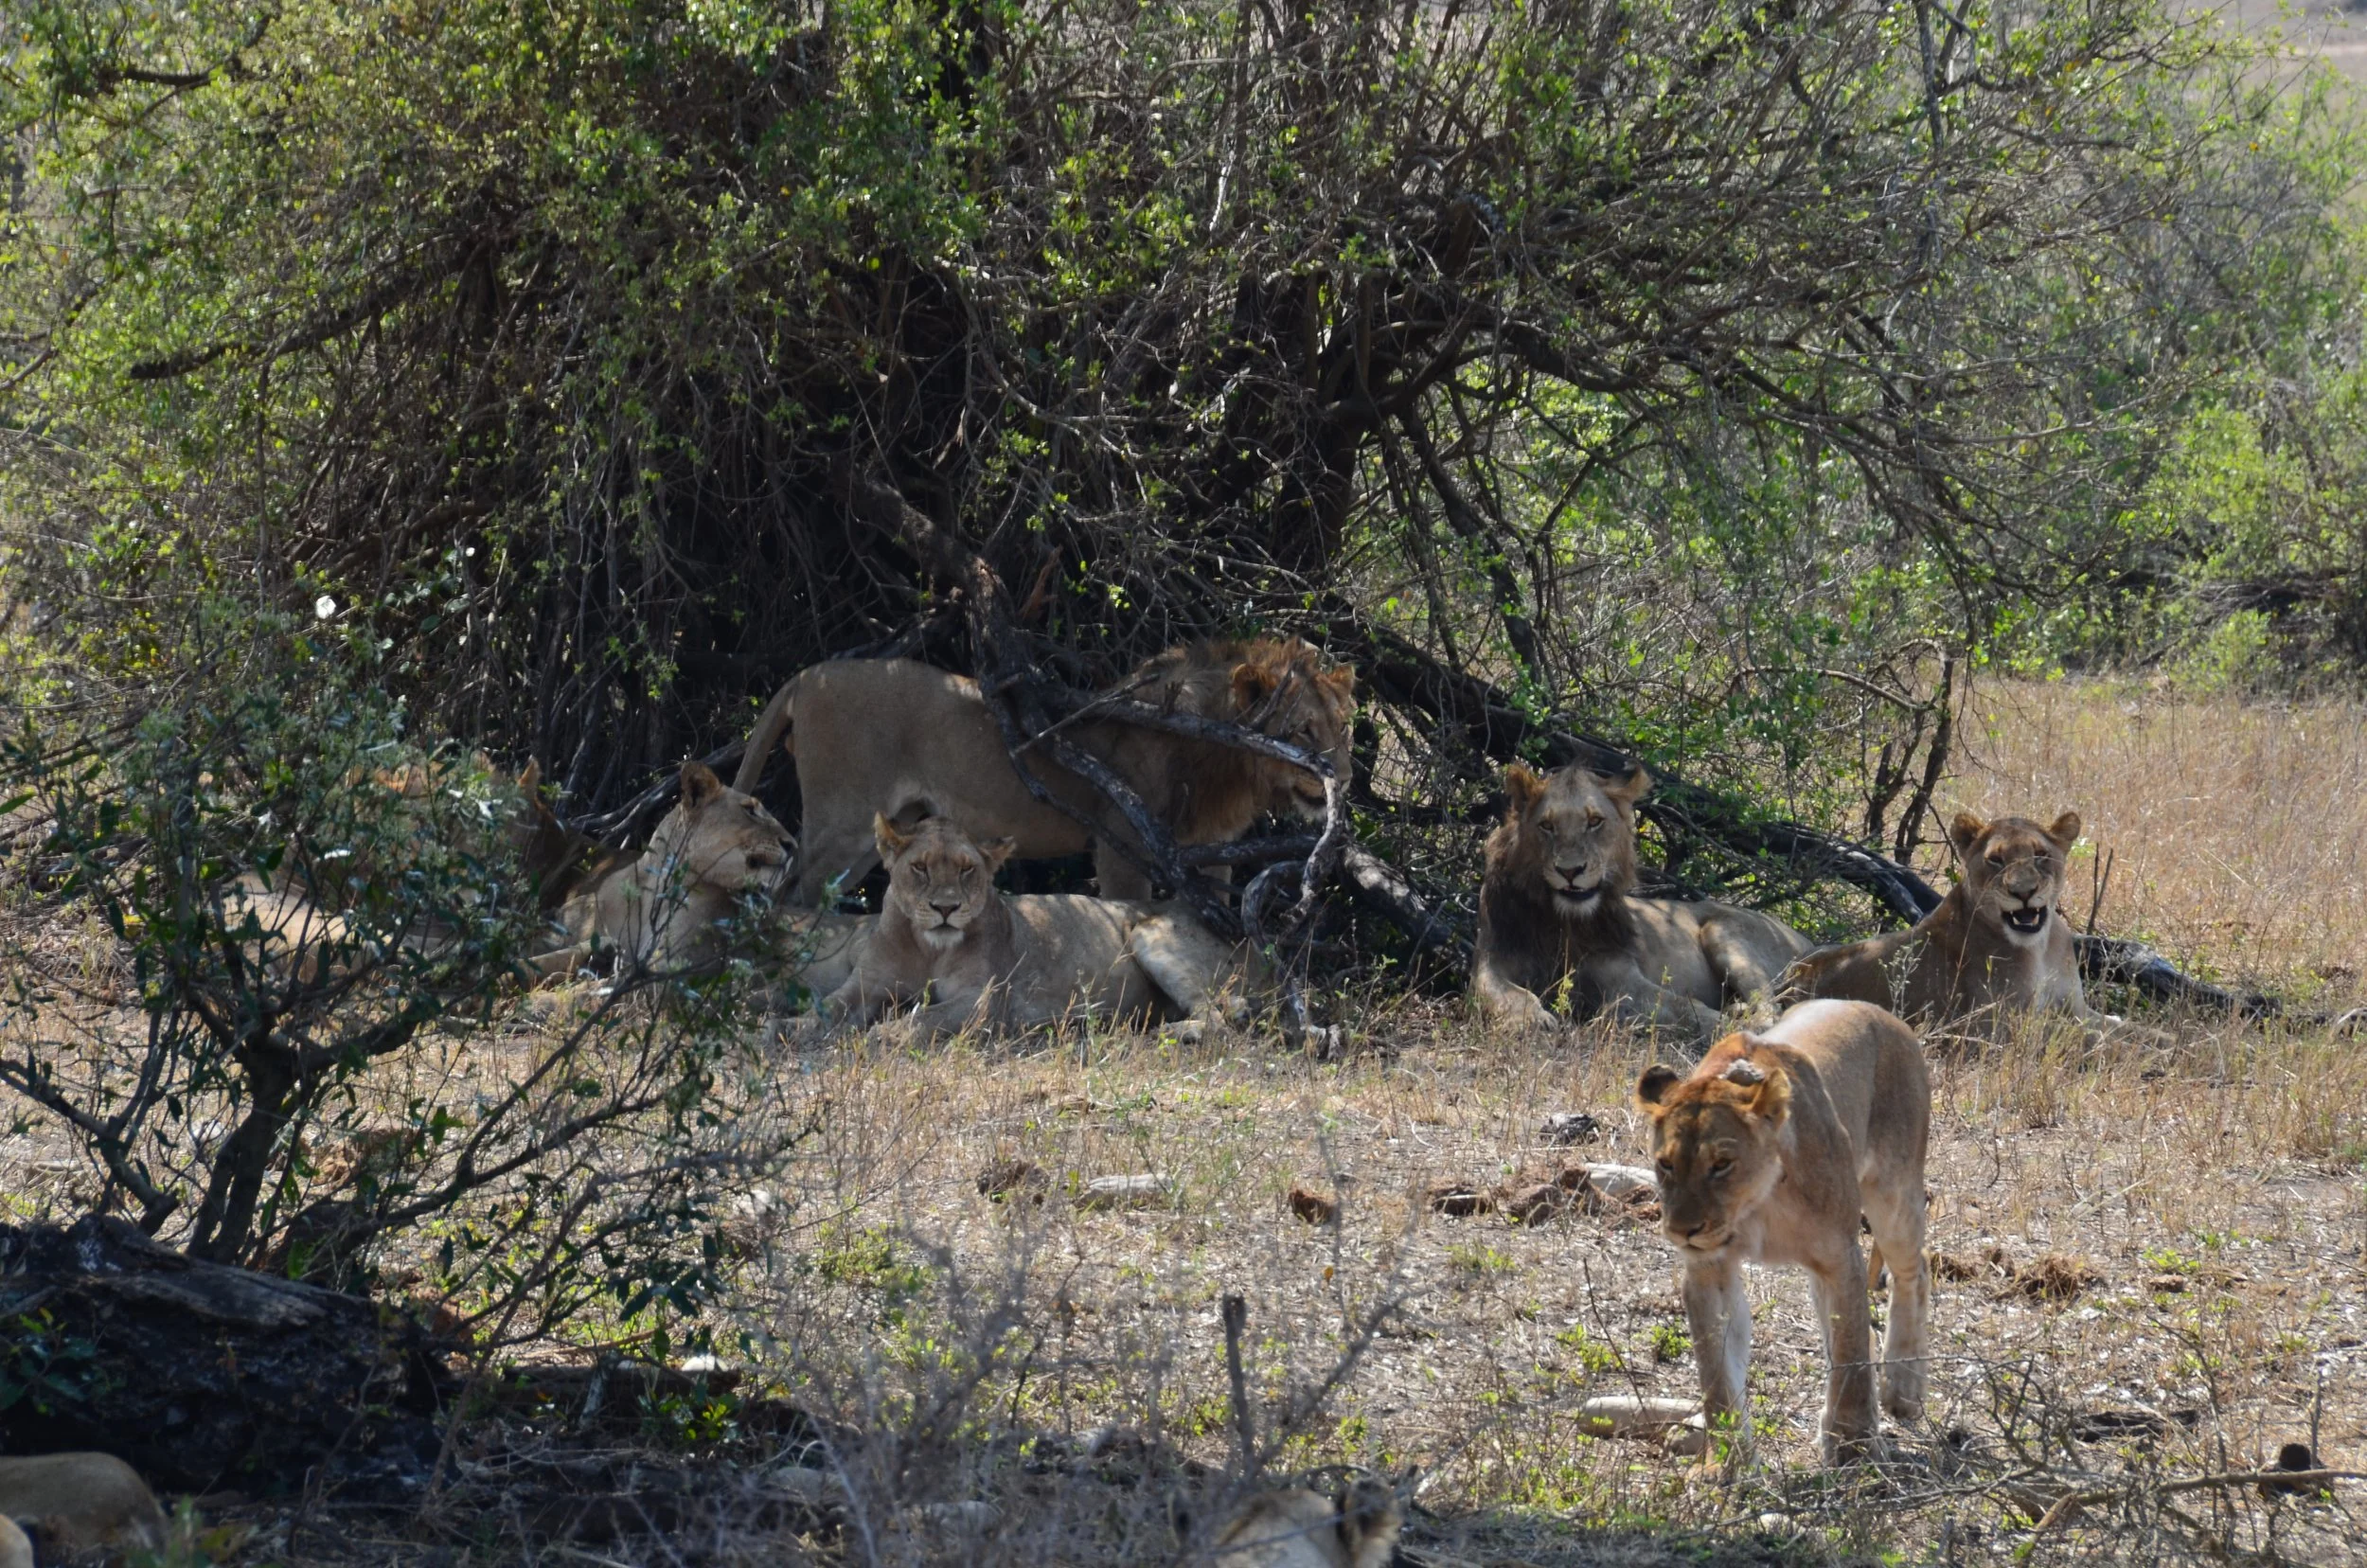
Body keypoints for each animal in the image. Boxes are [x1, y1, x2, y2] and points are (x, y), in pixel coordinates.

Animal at [732, 638, 1356, 906]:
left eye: (1344, 726)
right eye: (1302, 731)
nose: (1344, 777)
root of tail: (806, 677)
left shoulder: (1213, 852)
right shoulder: (1122, 845)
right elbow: (1130, 914)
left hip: (874, 833)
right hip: (841, 820)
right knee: (790, 895)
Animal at [804, 815, 1258, 1038]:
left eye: (967, 869)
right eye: (919, 867)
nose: (946, 908)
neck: (926, 947)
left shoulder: (984, 1001)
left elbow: (924, 1018)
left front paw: (881, 1035)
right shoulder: (865, 986)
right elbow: (825, 1008)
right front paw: (790, 1028)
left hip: (1152, 935)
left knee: (1216, 1017)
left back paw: (1177, 1032)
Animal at [1472, 763, 1812, 1045]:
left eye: (1594, 821)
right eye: (1546, 825)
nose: (1570, 871)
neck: (1562, 920)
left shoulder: (1618, 972)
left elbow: (1679, 1005)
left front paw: (1725, 1027)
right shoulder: (1492, 961)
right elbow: (1507, 993)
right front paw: (1534, 1020)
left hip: (1723, 930)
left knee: (1771, 1007)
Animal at [1635, 999, 1931, 1466]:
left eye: (1721, 1164)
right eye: (1665, 1164)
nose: (1683, 1230)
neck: (1758, 1203)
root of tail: (1883, 1013)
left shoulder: (1840, 1254)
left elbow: (1849, 1351)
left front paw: (1853, 1446)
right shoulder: (1710, 1269)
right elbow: (1717, 1374)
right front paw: (1726, 1465)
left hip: (1895, 1193)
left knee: (1915, 1270)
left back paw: (1903, 1387)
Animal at [1783, 810, 2092, 1028]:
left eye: (2041, 854)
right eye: (1995, 860)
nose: (2024, 892)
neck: (2040, 947)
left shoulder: (2077, 1008)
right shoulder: (1998, 1027)